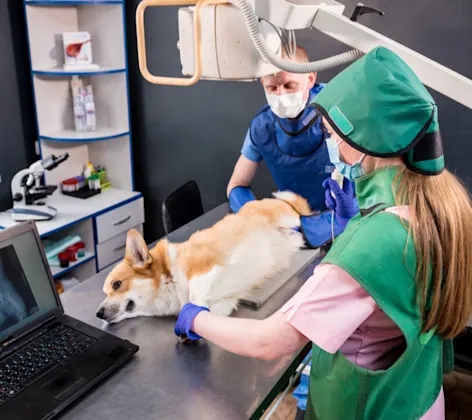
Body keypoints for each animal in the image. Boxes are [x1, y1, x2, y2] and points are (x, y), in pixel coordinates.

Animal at [97, 192, 310, 324]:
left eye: (117, 284)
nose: (98, 314)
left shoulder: (202, 266)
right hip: (293, 238)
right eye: (105, 291)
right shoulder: (224, 302)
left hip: (288, 218)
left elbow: (195, 296)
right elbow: (209, 313)